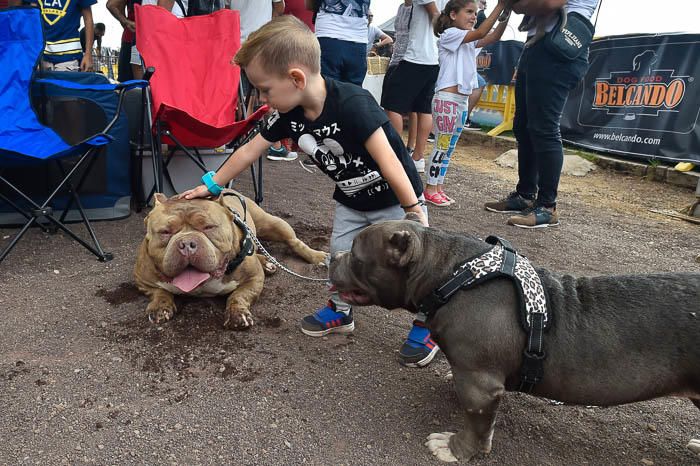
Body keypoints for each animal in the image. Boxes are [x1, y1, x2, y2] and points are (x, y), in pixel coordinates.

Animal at [136, 189, 328, 328]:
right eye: (165, 232)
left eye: (209, 227)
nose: (187, 243)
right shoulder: (142, 279)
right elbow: (159, 291)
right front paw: (160, 307)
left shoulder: (254, 279)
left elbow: (239, 295)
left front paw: (237, 314)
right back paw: (266, 262)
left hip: (272, 224)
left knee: (293, 241)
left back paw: (317, 256)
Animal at [328, 217, 700, 464]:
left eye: (356, 256)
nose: (333, 257)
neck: (452, 275)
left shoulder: (480, 386)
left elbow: (477, 427)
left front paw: (455, 449)